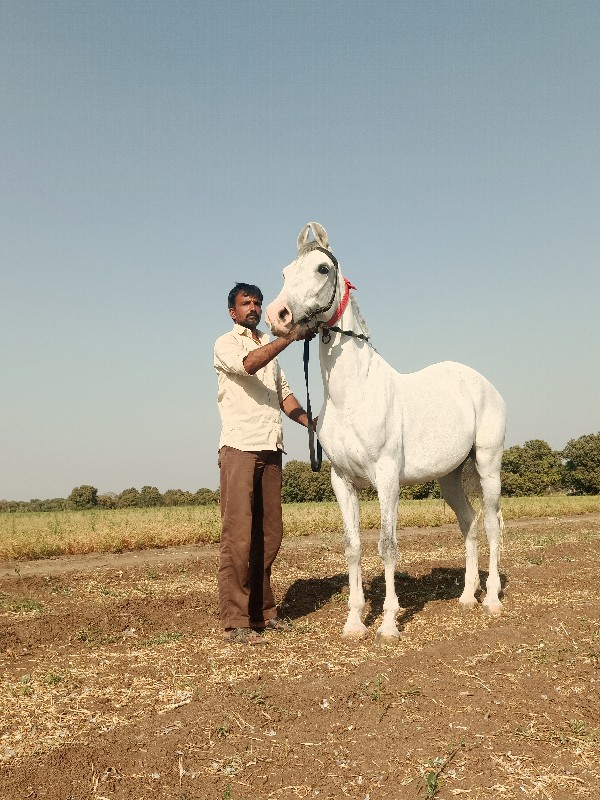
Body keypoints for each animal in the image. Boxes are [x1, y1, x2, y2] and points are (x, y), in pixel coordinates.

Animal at [268, 222, 506, 640]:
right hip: (449, 478)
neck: (354, 393)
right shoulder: (342, 481)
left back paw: (491, 600)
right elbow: (353, 547)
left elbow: (387, 545)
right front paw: (353, 623)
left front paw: (390, 624)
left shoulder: (387, 477)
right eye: (284, 272)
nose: (276, 315)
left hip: (488, 466)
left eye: (322, 269)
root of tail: (484, 385)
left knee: (491, 524)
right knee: (469, 523)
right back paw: (466, 597)